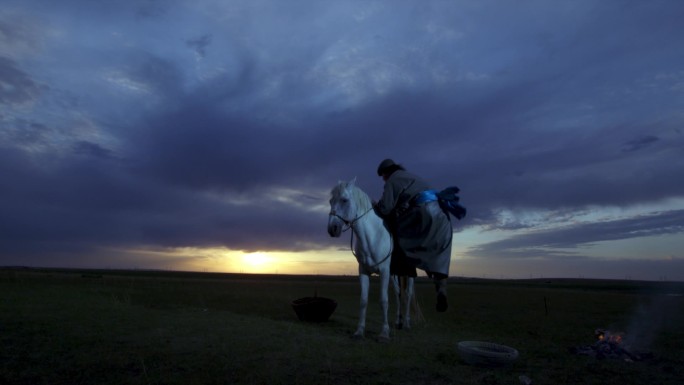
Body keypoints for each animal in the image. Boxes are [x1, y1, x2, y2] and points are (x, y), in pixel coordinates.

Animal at [328, 177, 414, 340]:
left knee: (408, 293)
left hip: (408, 273)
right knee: (398, 293)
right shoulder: (363, 271)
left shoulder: (384, 271)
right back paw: (398, 322)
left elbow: (383, 300)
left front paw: (384, 333)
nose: (332, 229)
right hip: (394, 274)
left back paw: (406, 323)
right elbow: (363, 301)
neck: (372, 237)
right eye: (330, 201)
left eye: (344, 200)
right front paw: (359, 331)